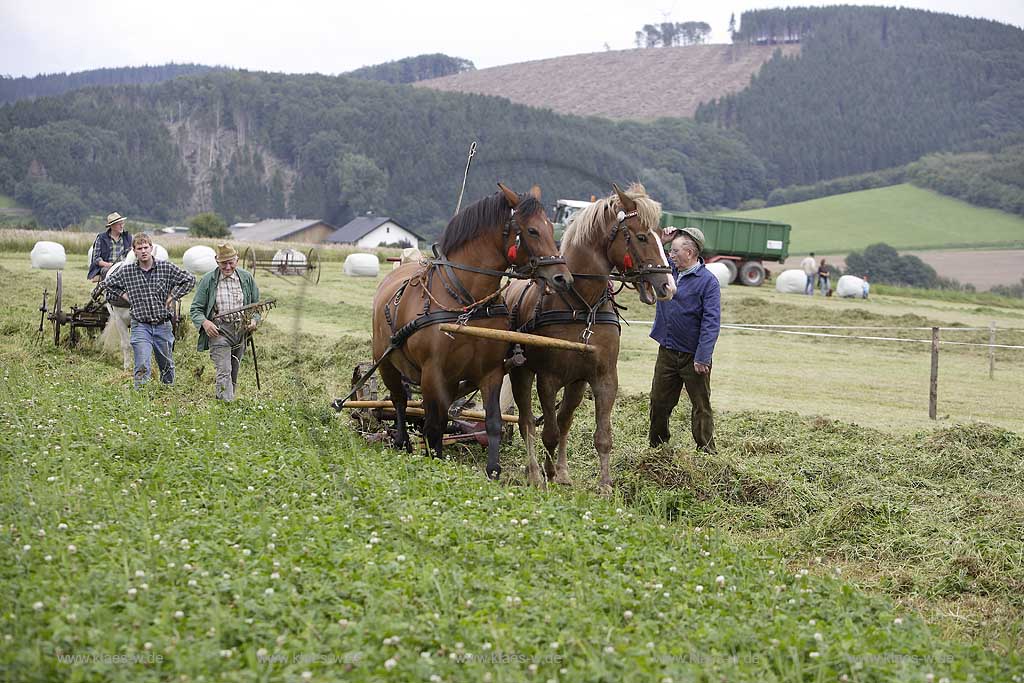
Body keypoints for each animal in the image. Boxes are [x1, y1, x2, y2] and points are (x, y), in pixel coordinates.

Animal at [370, 184, 577, 479]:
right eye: (532, 230)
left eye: (551, 227)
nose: (563, 278)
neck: (468, 301)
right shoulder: (433, 371)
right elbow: (434, 422)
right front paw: (434, 457)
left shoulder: (490, 372)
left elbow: (492, 421)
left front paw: (493, 469)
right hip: (386, 361)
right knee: (399, 400)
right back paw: (402, 441)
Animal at [505, 181, 679, 491]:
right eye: (642, 237)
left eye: (662, 238)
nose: (668, 286)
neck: (582, 304)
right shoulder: (547, 378)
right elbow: (547, 431)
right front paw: (547, 474)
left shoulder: (603, 377)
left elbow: (601, 435)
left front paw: (605, 484)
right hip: (521, 372)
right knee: (527, 422)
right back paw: (536, 472)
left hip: (576, 383)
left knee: (564, 420)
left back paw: (561, 472)